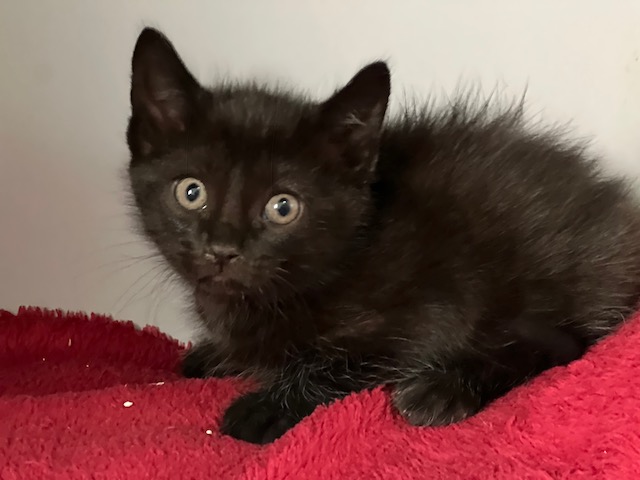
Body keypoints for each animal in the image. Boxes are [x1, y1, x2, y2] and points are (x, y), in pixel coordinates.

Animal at [126, 27, 640, 444]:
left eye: (283, 207)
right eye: (191, 192)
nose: (222, 251)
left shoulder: (434, 306)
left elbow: (354, 361)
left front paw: (270, 405)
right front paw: (215, 354)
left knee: (564, 344)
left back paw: (441, 390)